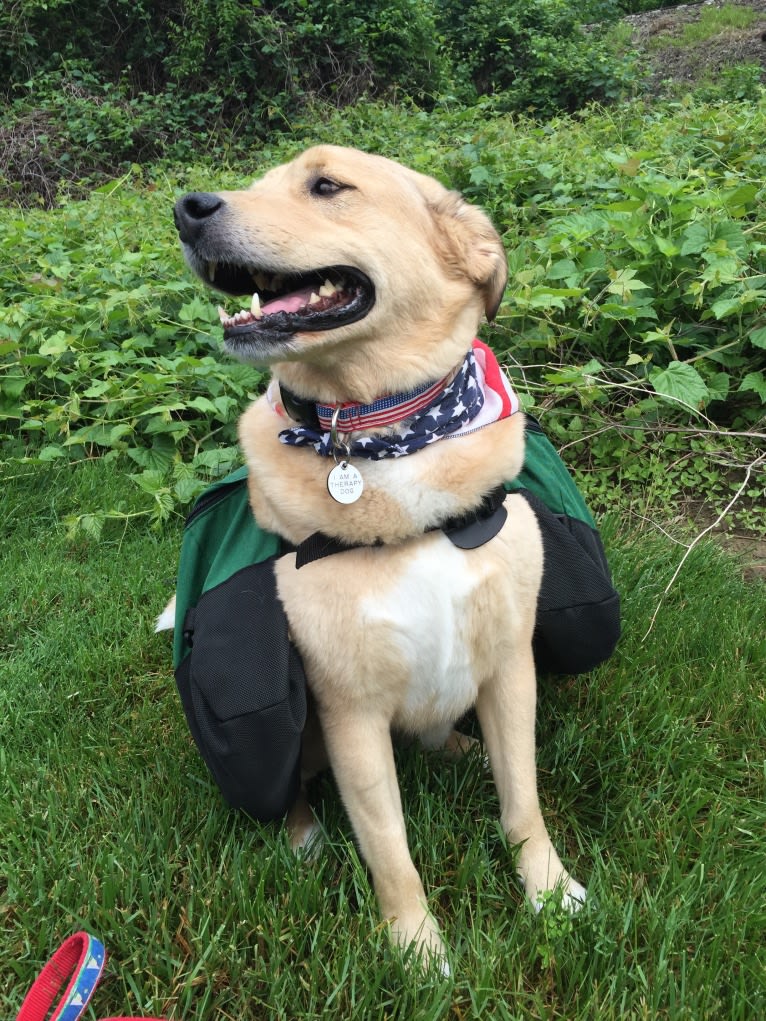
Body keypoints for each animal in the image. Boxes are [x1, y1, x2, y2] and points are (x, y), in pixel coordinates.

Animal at [169, 146, 588, 971]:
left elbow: (523, 801)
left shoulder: (509, 667)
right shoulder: (350, 711)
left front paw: (549, 892)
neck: (379, 438)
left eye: (327, 184)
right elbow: (391, 851)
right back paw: (304, 836)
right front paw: (418, 951)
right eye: (259, 181)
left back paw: (458, 747)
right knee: (291, 782)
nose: (187, 208)